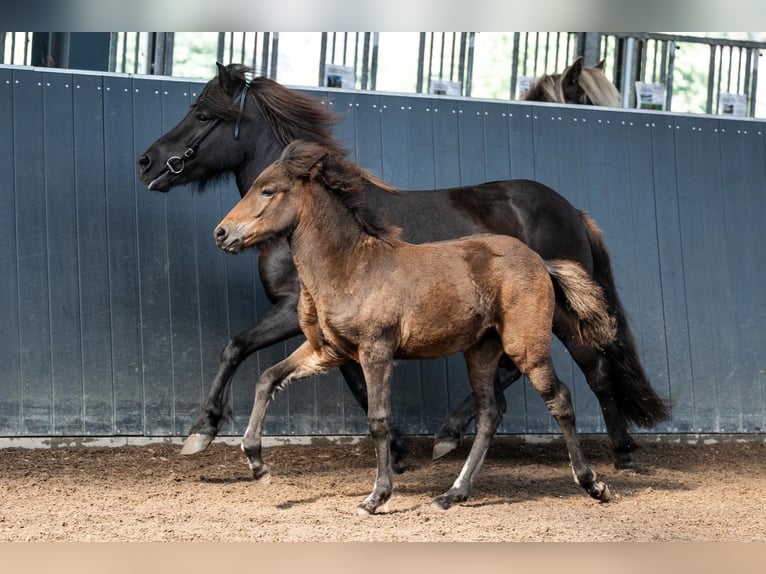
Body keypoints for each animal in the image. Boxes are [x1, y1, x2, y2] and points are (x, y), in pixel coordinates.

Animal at [137, 63, 668, 471]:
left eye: (203, 114)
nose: (147, 162)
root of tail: (572, 210)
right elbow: (354, 381)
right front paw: (395, 448)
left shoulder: (291, 310)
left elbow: (235, 347)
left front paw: (201, 429)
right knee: (514, 371)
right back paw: (449, 434)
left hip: (558, 313)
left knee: (595, 368)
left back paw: (623, 454)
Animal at [214, 140, 615, 512]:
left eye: (268, 190)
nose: (222, 233)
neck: (349, 267)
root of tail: (541, 262)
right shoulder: (325, 350)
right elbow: (268, 378)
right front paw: (257, 464)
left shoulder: (376, 351)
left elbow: (378, 420)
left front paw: (376, 497)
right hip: (481, 351)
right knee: (490, 411)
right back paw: (453, 493)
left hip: (526, 345)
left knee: (559, 398)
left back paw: (593, 483)